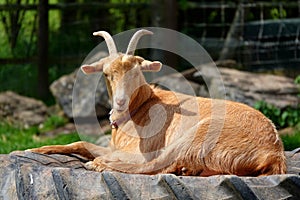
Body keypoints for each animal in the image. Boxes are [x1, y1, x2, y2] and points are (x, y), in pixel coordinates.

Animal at [29, 28, 288, 176]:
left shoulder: (140, 149)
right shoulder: (113, 146)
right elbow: (80, 143)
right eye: (107, 73)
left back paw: (98, 165)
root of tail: (273, 154)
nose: (120, 102)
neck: (142, 106)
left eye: (136, 71)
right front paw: (36, 149)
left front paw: (98, 161)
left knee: (156, 166)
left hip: (195, 137)